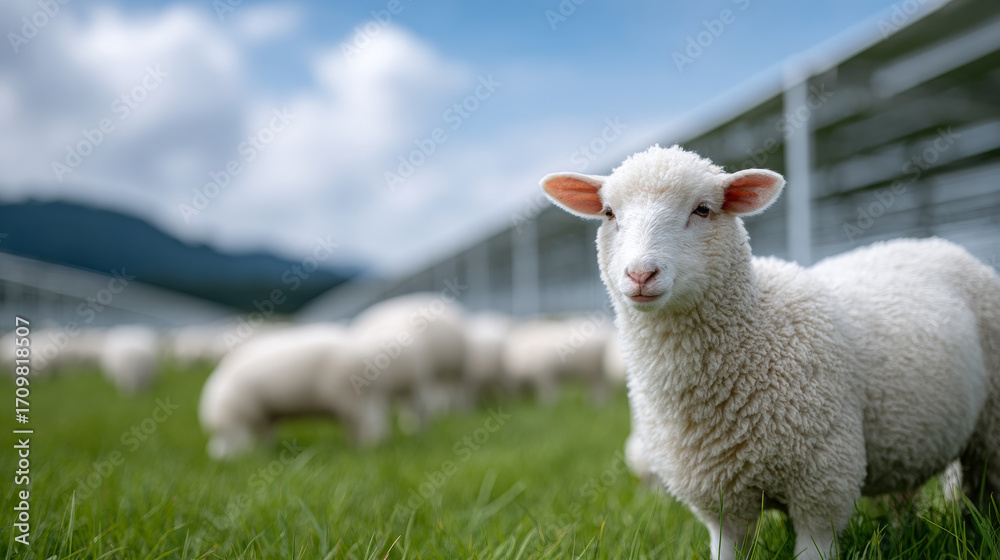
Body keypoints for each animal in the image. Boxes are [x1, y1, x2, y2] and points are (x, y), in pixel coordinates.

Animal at [199, 323, 389, 459]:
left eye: (222, 434)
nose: (217, 458)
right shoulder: (266, 416)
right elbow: (267, 434)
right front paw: (266, 452)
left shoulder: (250, 415)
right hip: (368, 397)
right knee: (373, 421)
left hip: (350, 398)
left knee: (364, 424)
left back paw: (361, 448)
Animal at [540, 144, 1000, 560]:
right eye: (609, 214)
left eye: (703, 210)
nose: (640, 274)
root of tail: (930, 242)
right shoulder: (719, 500)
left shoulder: (823, 484)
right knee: (904, 496)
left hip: (989, 432)